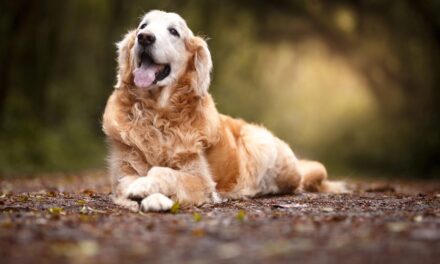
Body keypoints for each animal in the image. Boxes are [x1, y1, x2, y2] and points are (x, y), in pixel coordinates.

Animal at [102, 10, 348, 212]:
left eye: (173, 31)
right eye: (143, 26)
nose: (144, 37)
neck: (157, 114)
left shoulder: (201, 180)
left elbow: (163, 172)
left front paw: (148, 189)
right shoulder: (122, 172)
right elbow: (127, 182)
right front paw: (146, 194)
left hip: (261, 145)